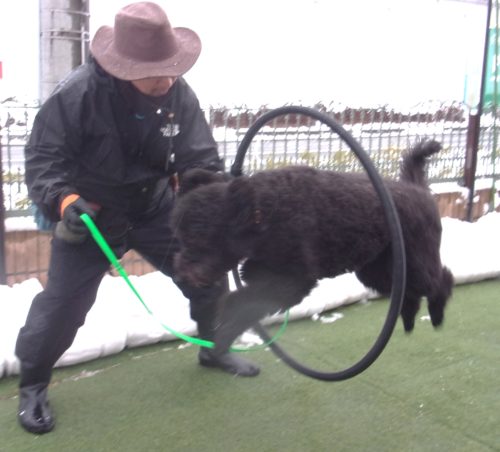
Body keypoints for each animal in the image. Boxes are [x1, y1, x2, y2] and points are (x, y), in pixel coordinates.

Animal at [171, 140, 454, 354]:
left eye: (201, 240)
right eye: (180, 236)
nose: (181, 275)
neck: (263, 212)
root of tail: (417, 188)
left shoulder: (295, 282)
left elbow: (245, 305)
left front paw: (225, 334)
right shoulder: (266, 276)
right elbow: (243, 299)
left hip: (415, 263)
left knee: (440, 280)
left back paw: (437, 314)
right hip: (379, 271)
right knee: (410, 291)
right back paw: (408, 319)